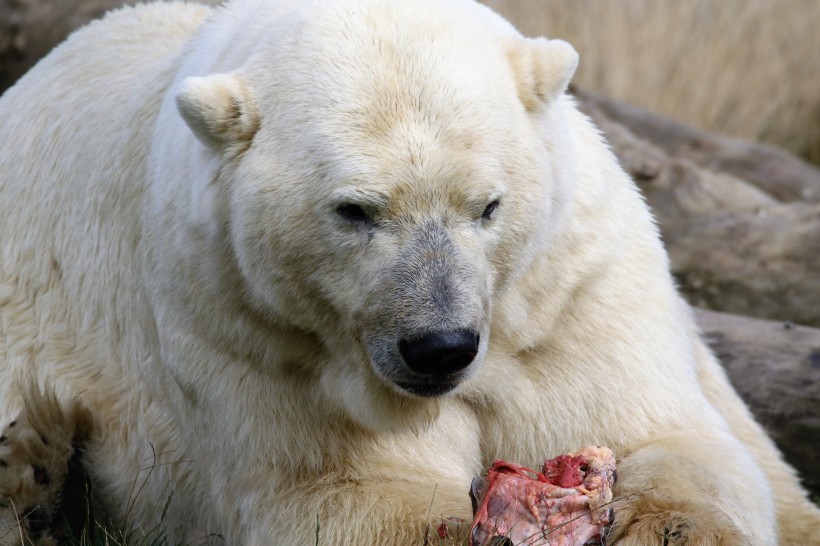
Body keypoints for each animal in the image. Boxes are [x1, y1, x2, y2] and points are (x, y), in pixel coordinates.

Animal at [1, 0, 820, 540]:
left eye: (488, 206)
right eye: (354, 210)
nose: (440, 348)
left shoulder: (570, 295)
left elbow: (663, 439)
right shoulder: (251, 329)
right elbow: (354, 492)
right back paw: (32, 466)